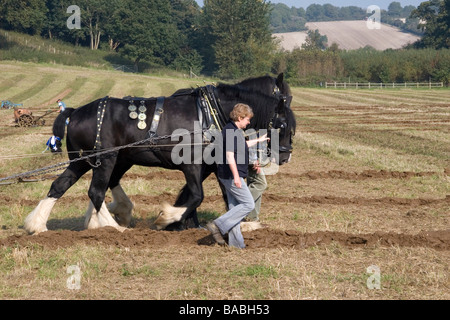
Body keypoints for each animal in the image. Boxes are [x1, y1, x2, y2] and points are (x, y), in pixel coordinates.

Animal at [23, 81, 296, 234]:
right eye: (283, 125)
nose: (284, 157)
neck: (209, 113)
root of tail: (76, 111)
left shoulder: (215, 164)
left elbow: (223, 195)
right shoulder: (192, 163)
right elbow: (196, 195)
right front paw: (168, 218)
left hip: (85, 161)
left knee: (61, 185)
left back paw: (38, 225)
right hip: (106, 158)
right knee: (96, 191)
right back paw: (111, 227)